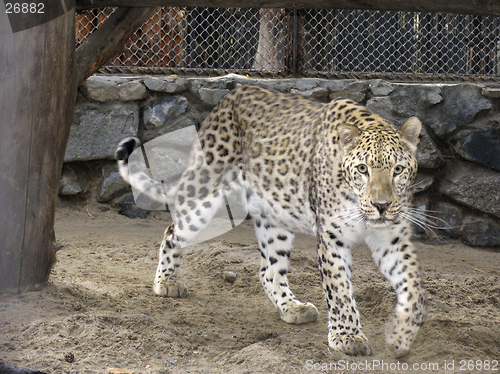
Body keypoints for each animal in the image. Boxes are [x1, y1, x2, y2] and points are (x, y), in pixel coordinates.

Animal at [116, 84, 426, 356]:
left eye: (398, 169)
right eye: (362, 169)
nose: (381, 206)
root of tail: (229, 96)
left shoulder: (393, 238)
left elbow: (413, 286)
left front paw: (402, 332)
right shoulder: (331, 236)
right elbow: (339, 289)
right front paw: (347, 337)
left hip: (275, 213)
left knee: (269, 269)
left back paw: (292, 307)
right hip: (204, 194)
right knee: (172, 230)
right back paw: (167, 282)